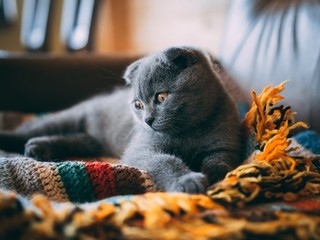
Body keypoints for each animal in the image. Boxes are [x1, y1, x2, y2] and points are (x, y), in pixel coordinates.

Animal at [0, 46, 241, 193]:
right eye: (138, 104)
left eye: (161, 97)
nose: (148, 120)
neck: (188, 132)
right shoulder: (143, 149)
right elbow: (165, 161)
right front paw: (188, 181)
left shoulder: (223, 146)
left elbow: (218, 160)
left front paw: (211, 174)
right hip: (67, 118)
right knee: (33, 129)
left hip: (92, 141)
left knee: (77, 139)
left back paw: (38, 148)